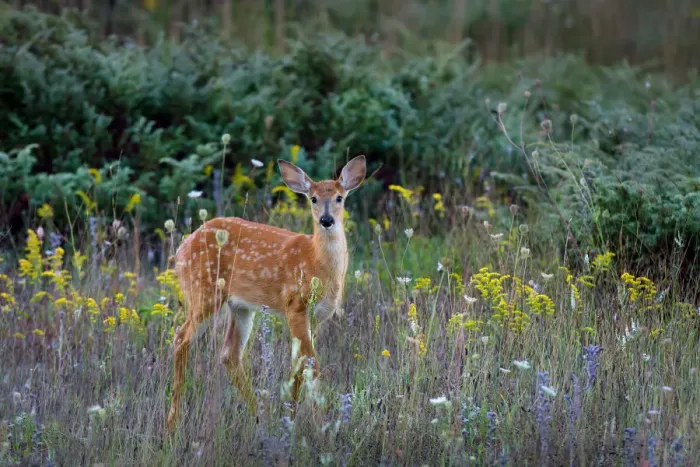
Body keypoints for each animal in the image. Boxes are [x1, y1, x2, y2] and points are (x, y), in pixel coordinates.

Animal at [167, 155, 367, 431]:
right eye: (313, 198)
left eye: (339, 197)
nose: (327, 220)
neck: (316, 263)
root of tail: (182, 247)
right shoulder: (295, 304)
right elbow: (310, 362)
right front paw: (320, 423)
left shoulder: (317, 317)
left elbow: (299, 363)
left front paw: (292, 416)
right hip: (203, 290)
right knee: (181, 337)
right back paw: (173, 422)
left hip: (240, 306)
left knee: (229, 354)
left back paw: (259, 417)